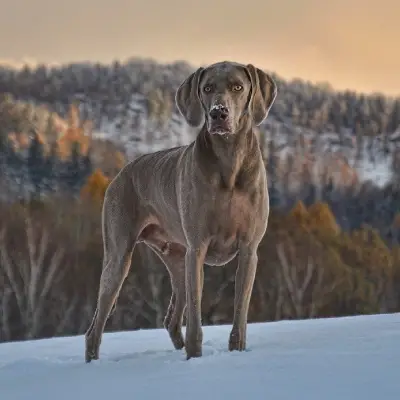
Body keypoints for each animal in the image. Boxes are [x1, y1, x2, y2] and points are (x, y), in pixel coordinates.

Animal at [84, 60, 278, 362]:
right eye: (207, 88)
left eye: (238, 87)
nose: (218, 113)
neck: (229, 160)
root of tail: (120, 173)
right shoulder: (197, 248)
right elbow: (196, 318)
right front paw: (195, 357)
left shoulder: (249, 250)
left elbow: (240, 313)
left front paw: (236, 350)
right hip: (120, 256)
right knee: (95, 326)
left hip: (176, 258)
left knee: (171, 319)